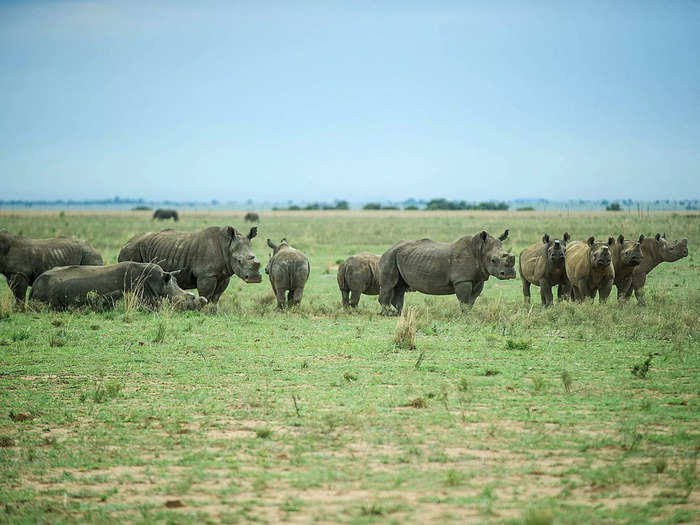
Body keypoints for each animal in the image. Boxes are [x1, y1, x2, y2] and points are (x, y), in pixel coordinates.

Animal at [119, 225, 262, 302]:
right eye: (239, 261)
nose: (254, 279)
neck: (227, 246)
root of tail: (125, 243)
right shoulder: (206, 275)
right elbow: (206, 295)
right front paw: (204, 311)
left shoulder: (224, 275)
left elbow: (216, 298)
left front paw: (213, 313)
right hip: (130, 251)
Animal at [378, 227, 516, 314]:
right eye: (493, 260)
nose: (509, 274)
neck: (480, 251)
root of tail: (390, 248)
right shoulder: (462, 280)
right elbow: (464, 301)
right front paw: (464, 317)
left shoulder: (478, 279)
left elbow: (471, 301)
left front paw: (469, 315)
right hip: (389, 256)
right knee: (389, 285)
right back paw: (388, 313)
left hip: (399, 256)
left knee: (400, 287)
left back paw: (400, 313)